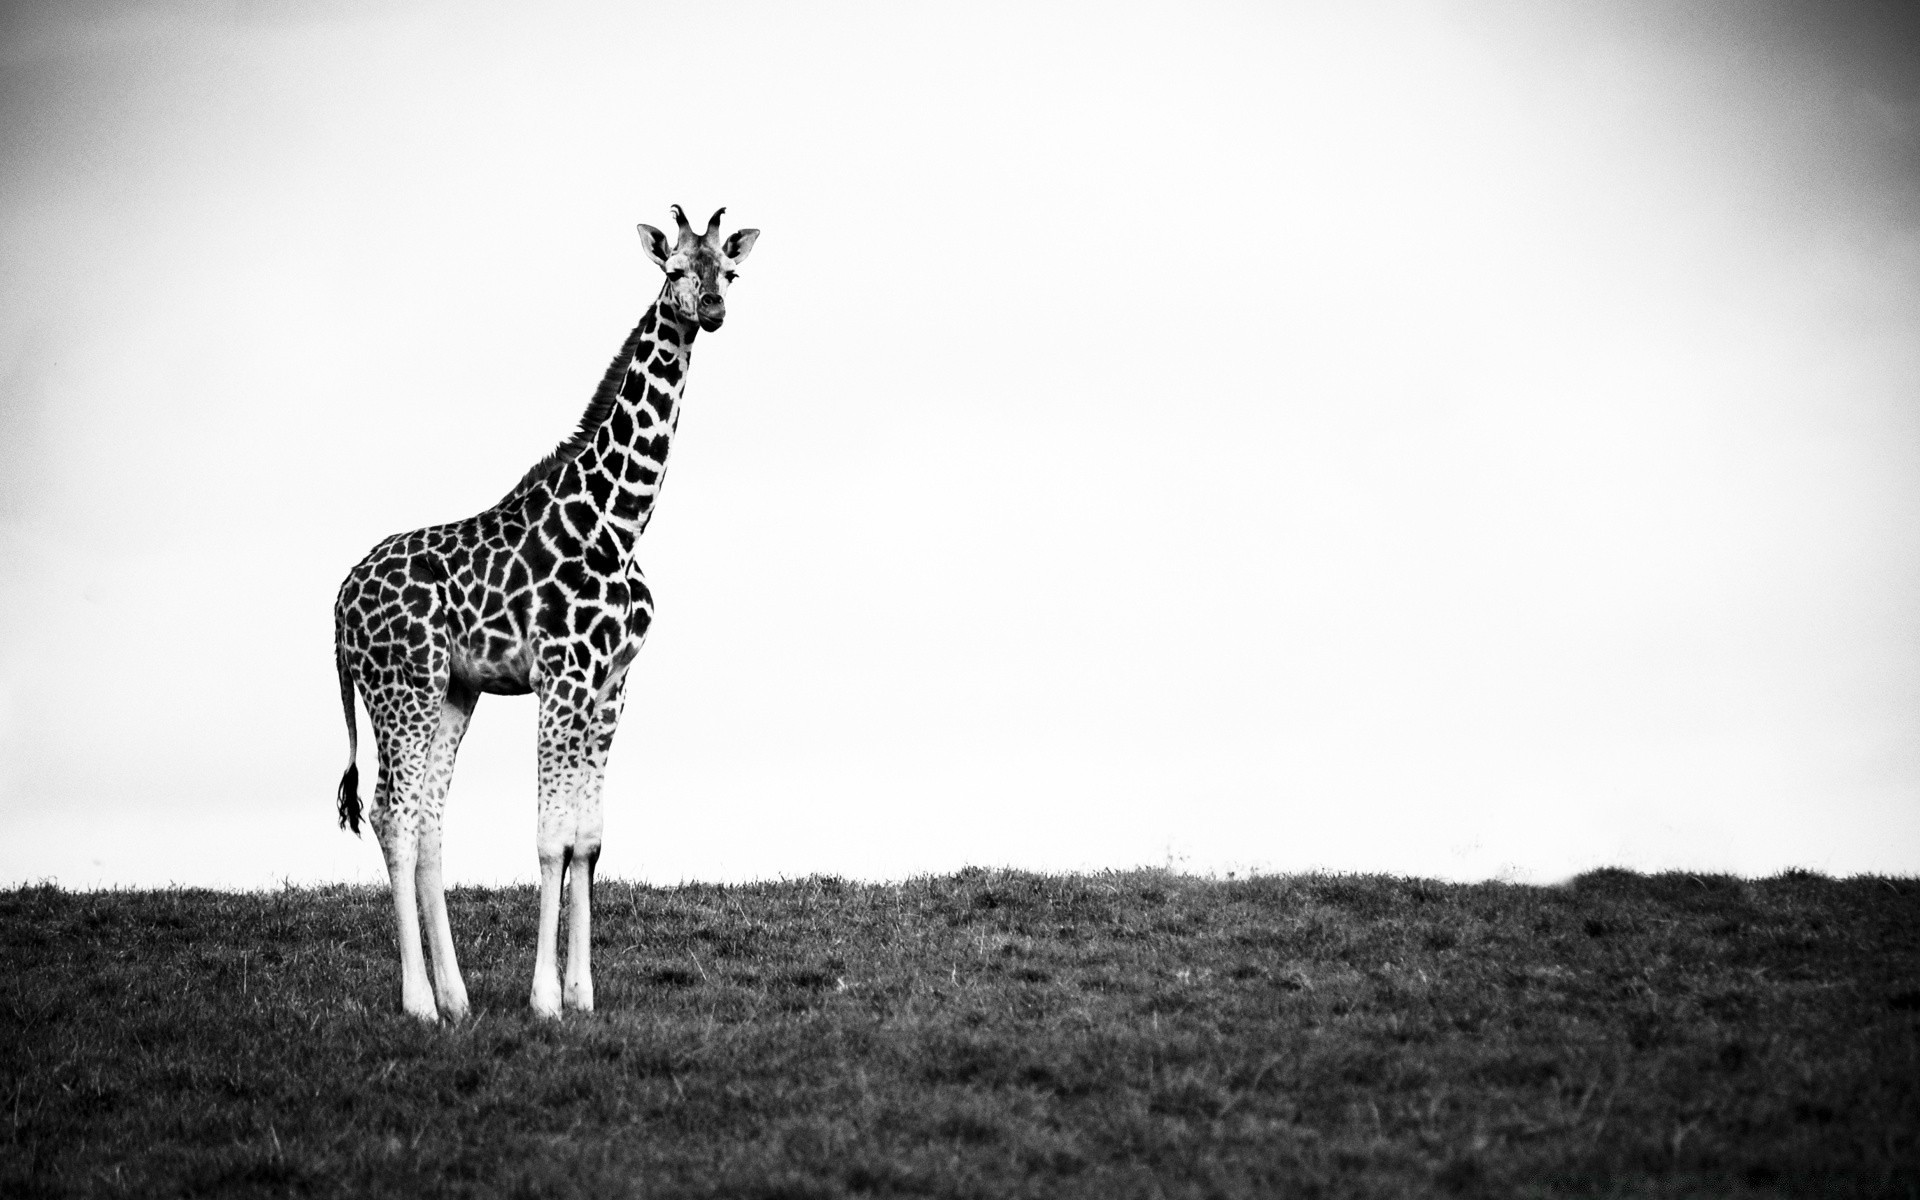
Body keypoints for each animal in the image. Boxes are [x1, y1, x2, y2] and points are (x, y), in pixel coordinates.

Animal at [330, 205, 756, 1021]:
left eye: (729, 268)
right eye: (673, 270)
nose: (714, 310)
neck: (619, 521)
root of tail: (337, 607)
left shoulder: (612, 681)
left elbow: (588, 839)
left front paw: (583, 995)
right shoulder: (564, 675)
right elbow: (550, 838)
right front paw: (545, 999)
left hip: (451, 692)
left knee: (429, 821)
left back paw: (457, 1000)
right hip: (402, 686)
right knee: (393, 815)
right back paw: (419, 1003)